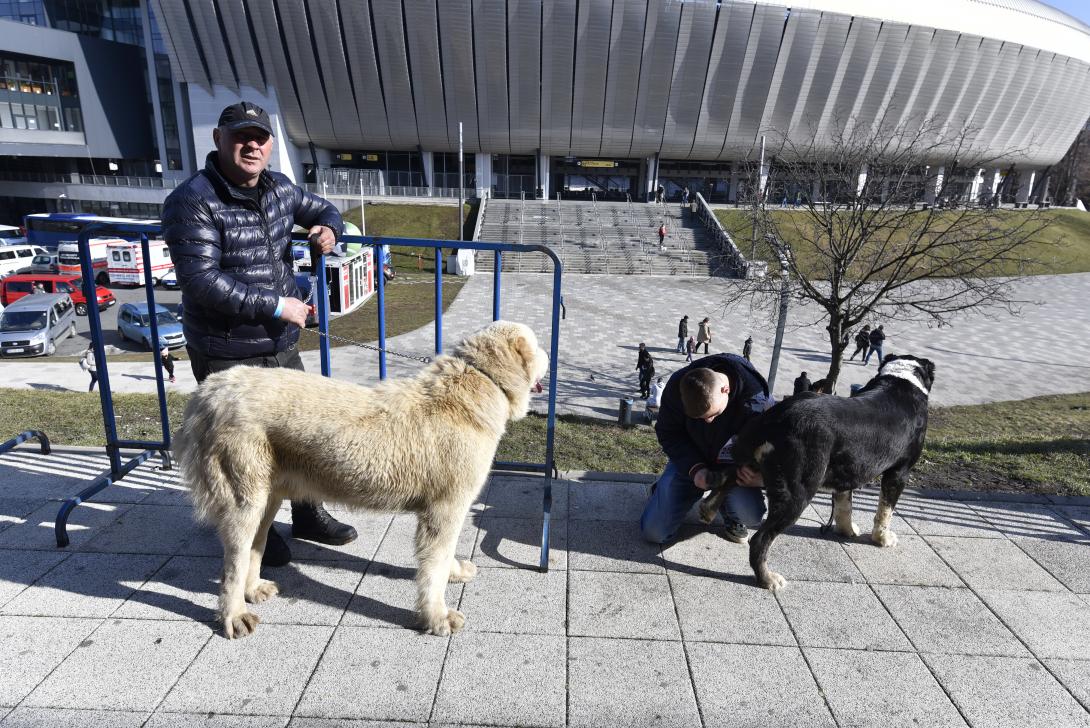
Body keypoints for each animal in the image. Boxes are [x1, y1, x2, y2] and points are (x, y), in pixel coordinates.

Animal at [179, 322, 553, 636]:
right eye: (536, 344)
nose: (550, 354)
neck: (480, 380)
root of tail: (209, 391)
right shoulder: (445, 509)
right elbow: (434, 566)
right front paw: (437, 617)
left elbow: (442, 559)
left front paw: (453, 573)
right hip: (243, 498)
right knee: (233, 562)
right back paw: (233, 615)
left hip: (267, 496)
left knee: (255, 546)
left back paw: (253, 589)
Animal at [701, 353, 933, 592]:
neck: (900, 379)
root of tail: (775, 418)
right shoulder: (899, 473)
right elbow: (885, 511)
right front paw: (882, 538)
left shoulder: (848, 471)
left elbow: (844, 506)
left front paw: (847, 530)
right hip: (797, 494)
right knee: (760, 540)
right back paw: (767, 578)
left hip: (754, 463)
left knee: (729, 479)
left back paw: (708, 509)